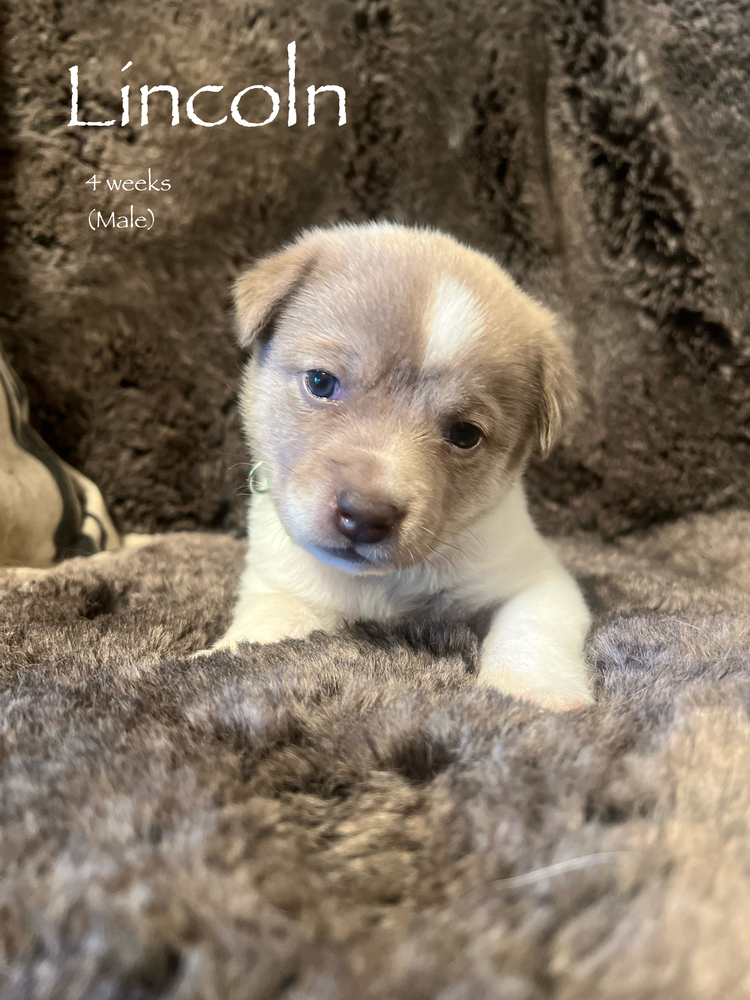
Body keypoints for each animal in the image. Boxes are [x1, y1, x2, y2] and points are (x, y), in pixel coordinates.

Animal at [207, 227, 592, 712]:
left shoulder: (538, 581)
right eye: (320, 382)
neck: (379, 587)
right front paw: (213, 657)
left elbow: (530, 633)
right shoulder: (279, 584)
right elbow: (264, 628)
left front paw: (535, 695)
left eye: (465, 434)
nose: (364, 515)